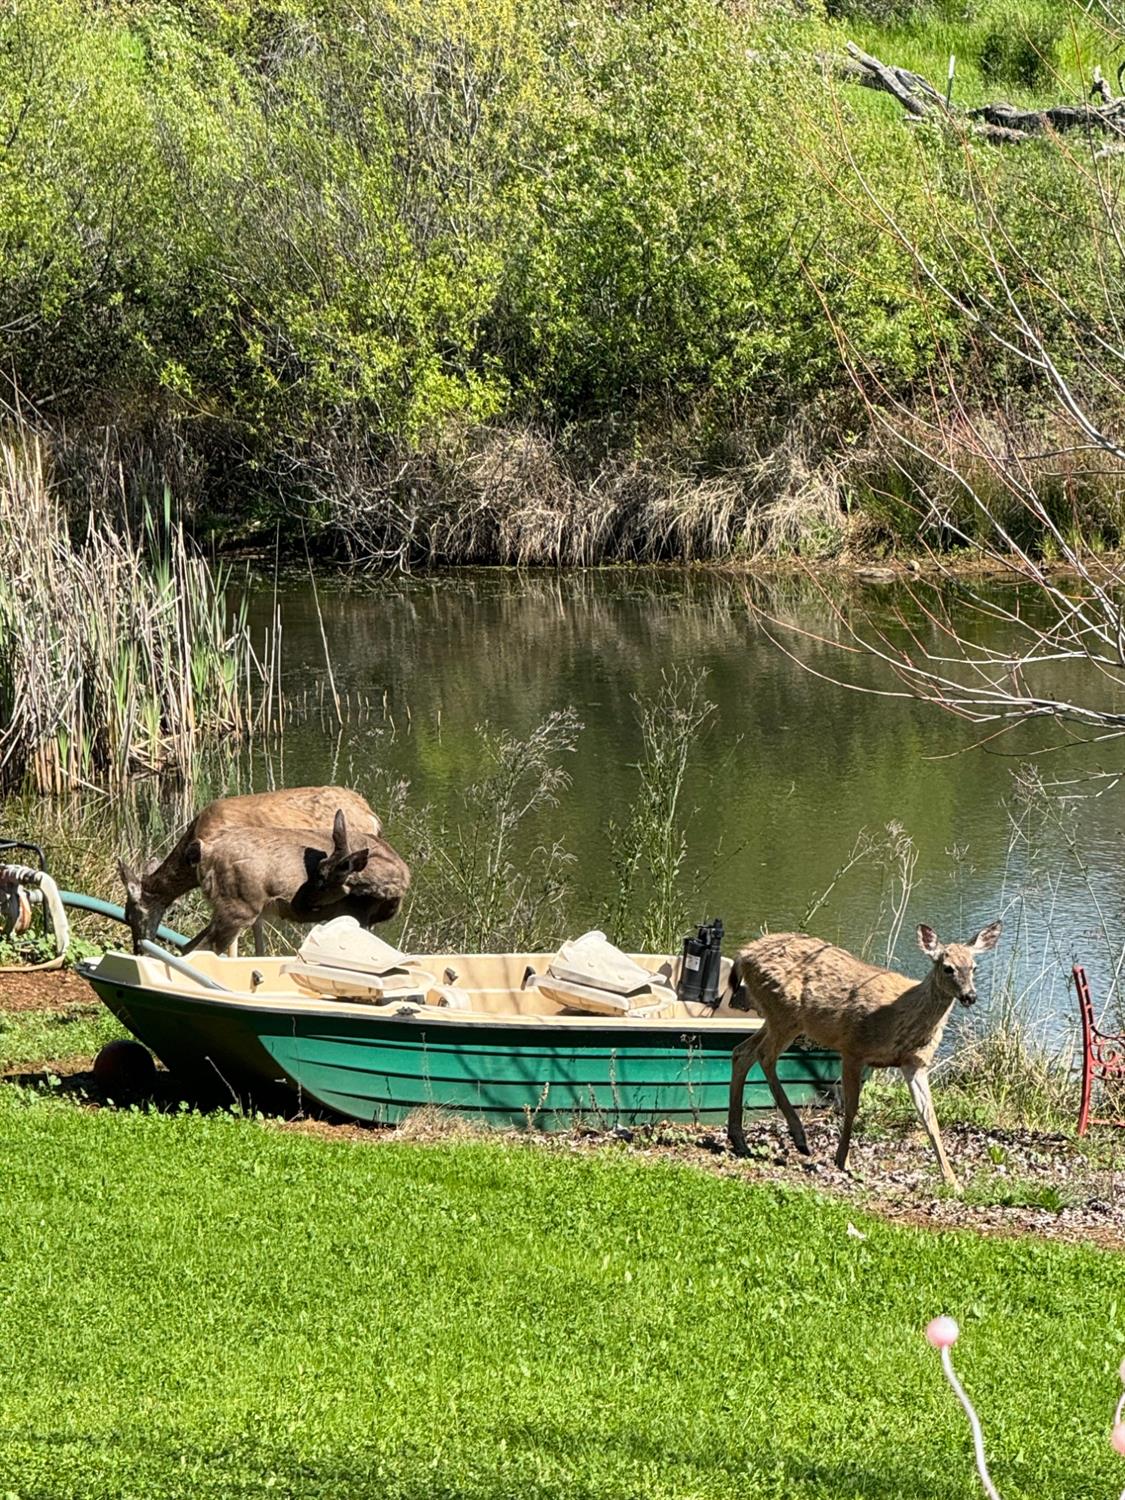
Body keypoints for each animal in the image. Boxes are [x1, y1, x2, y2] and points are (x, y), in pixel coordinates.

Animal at [726, 918, 1008, 1188]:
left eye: (974, 967)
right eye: (948, 967)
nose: (970, 996)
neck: (901, 1014)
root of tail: (743, 955)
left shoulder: (914, 1063)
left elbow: (930, 1118)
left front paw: (952, 1180)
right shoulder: (853, 1047)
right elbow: (851, 1106)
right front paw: (843, 1160)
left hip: (776, 1018)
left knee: (742, 1052)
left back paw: (739, 1139)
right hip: (784, 1012)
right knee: (764, 1055)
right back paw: (798, 1138)